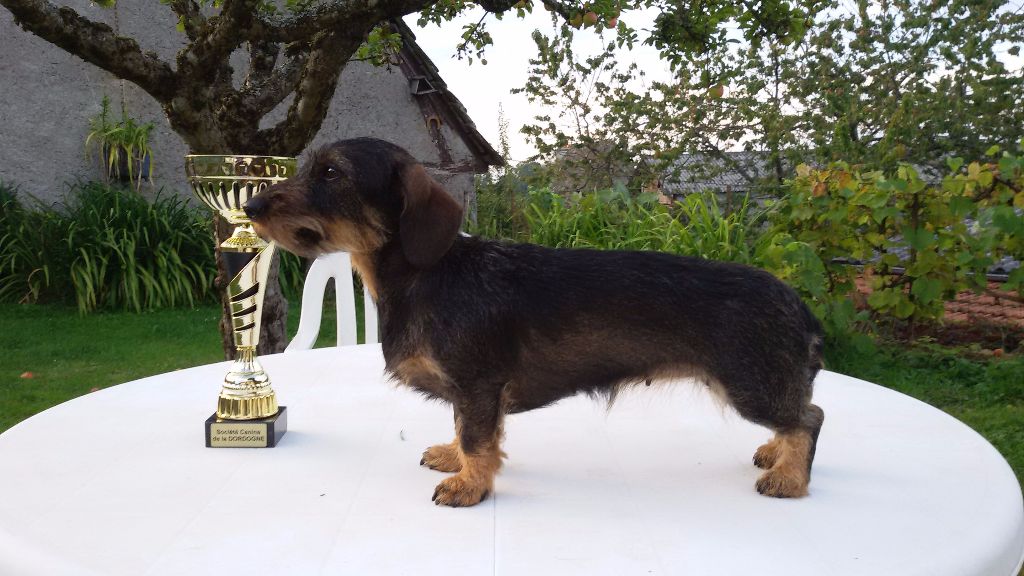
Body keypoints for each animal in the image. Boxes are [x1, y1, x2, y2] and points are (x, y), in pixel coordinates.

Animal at [245, 137, 826, 507]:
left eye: (332, 173)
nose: (249, 206)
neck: (428, 276)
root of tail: (797, 303)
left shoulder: (478, 383)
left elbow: (478, 438)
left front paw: (470, 486)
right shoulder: (469, 391)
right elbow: (463, 428)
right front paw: (452, 458)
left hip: (750, 384)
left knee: (809, 417)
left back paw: (789, 478)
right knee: (797, 415)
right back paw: (775, 455)